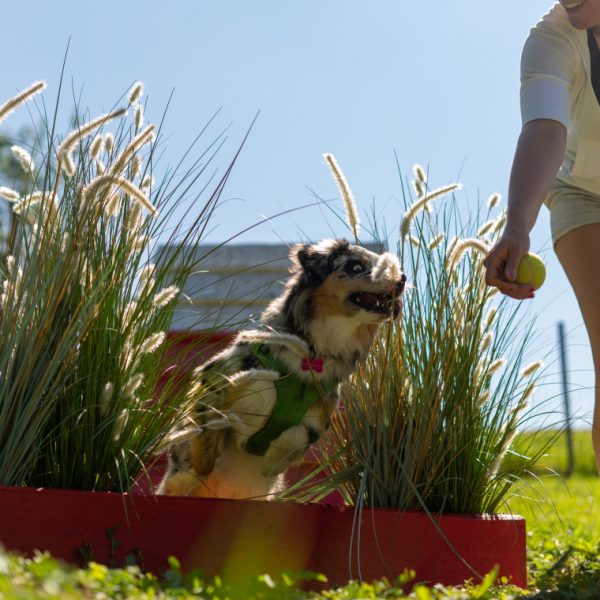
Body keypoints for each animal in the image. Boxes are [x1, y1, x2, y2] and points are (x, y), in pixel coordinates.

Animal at [157, 239, 406, 502]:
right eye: (356, 266)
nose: (402, 279)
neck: (313, 354)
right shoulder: (217, 381)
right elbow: (205, 443)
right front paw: (192, 474)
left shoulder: (319, 418)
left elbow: (297, 437)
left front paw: (272, 461)